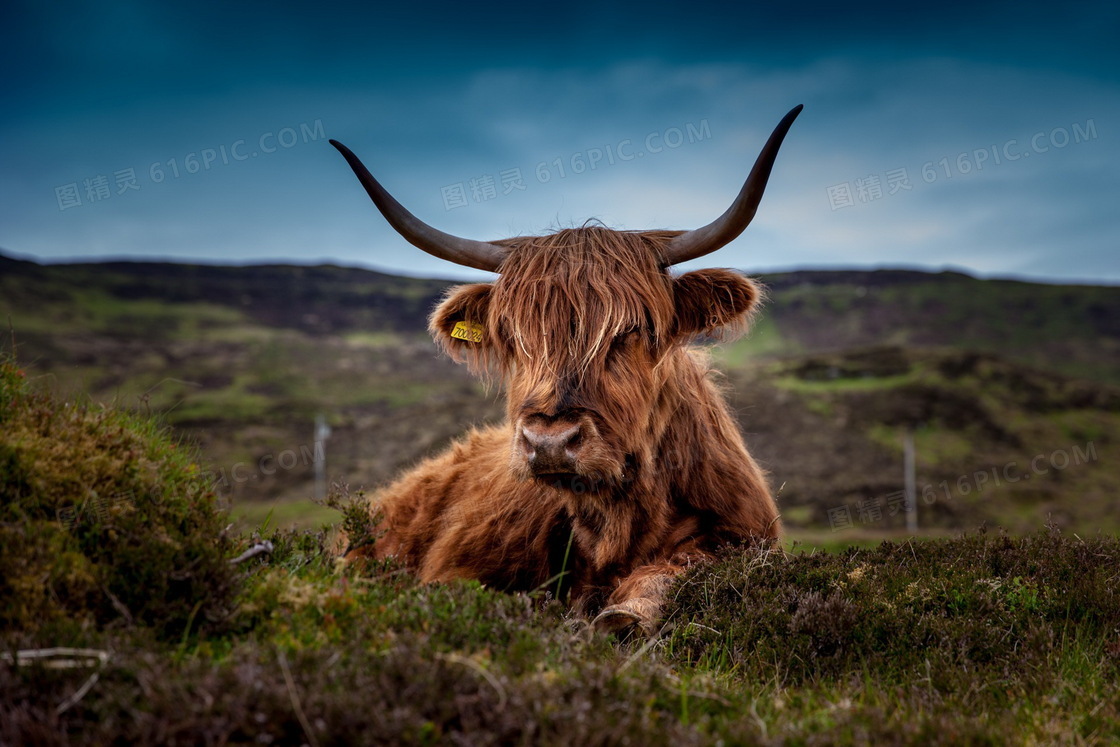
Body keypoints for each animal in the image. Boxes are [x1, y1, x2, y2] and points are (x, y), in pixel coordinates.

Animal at [327, 102, 801, 636]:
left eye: (631, 330)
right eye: (513, 336)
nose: (549, 441)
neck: (616, 522)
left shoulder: (743, 537)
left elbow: (675, 571)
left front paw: (625, 614)